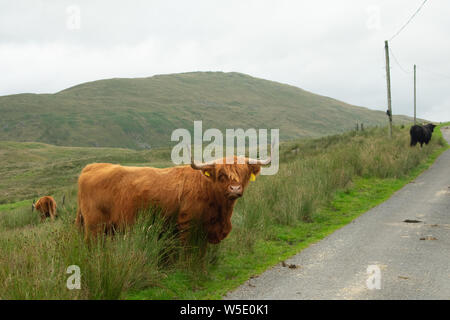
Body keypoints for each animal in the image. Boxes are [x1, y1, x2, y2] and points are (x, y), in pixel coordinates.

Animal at [76, 155, 270, 242]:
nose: (235, 189)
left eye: (244, 173)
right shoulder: (187, 226)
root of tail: (91, 167)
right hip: (94, 227)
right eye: (221, 175)